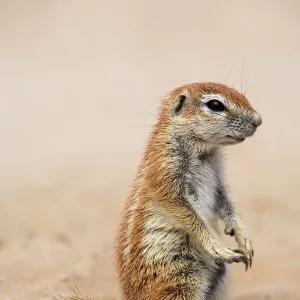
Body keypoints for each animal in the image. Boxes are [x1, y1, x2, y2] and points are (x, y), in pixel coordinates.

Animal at [115, 82, 262, 300]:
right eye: (215, 105)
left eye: (241, 94)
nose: (258, 120)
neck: (203, 152)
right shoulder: (166, 171)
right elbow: (188, 215)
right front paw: (217, 247)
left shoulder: (219, 179)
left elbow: (226, 203)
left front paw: (243, 238)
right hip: (180, 278)